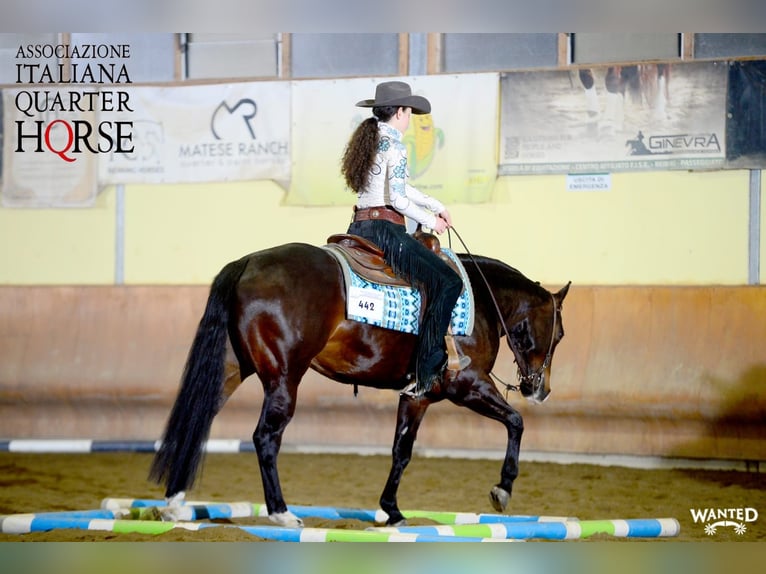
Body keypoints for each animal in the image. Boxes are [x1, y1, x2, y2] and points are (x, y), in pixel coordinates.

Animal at [149, 233, 570, 527]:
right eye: (560, 334)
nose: (541, 390)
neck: (480, 299)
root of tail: (247, 263)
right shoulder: (468, 385)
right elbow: (515, 422)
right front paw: (502, 489)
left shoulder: (417, 397)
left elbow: (402, 452)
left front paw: (393, 511)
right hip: (284, 379)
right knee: (265, 437)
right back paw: (281, 513)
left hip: (230, 369)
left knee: (196, 421)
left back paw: (174, 504)